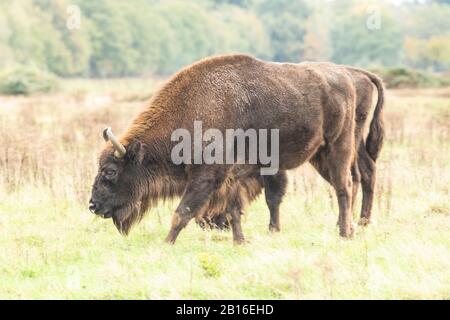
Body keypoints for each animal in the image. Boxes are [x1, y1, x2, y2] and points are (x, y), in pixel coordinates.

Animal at [89, 55, 384, 245]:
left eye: (110, 171)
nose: (93, 205)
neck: (194, 109)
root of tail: (348, 76)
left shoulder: (207, 176)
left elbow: (183, 211)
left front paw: (166, 243)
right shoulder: (233, 176)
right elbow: (235, 208)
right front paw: (240, 240)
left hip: (339, 146)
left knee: (347, 184)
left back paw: (347, 231)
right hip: (321, 154)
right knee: (353, 179)